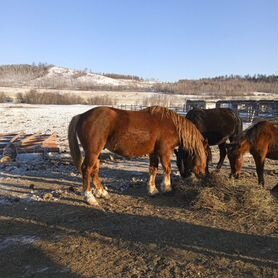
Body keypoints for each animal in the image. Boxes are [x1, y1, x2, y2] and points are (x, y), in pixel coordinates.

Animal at [68, 105, 208, 205]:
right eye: (205, 156)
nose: (203, 174)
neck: (172, 125)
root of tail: (81, 116)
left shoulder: (153, 153)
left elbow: (153, 169)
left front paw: (152, 190)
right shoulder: (164, 151)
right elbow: (167, 169)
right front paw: (167, 187)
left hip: (97, 153)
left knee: (94, 170)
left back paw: (102, 192)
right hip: (92, 152)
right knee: (87, 169)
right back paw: (89, 197)